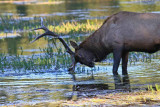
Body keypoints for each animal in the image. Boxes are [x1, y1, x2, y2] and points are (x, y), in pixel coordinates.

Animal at [31, 11, 160, 75]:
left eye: (79, 56)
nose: (70, 69)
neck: (103, 41)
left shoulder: (117, 46)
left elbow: (115, 69)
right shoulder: (126, 49)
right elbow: (124, 68)